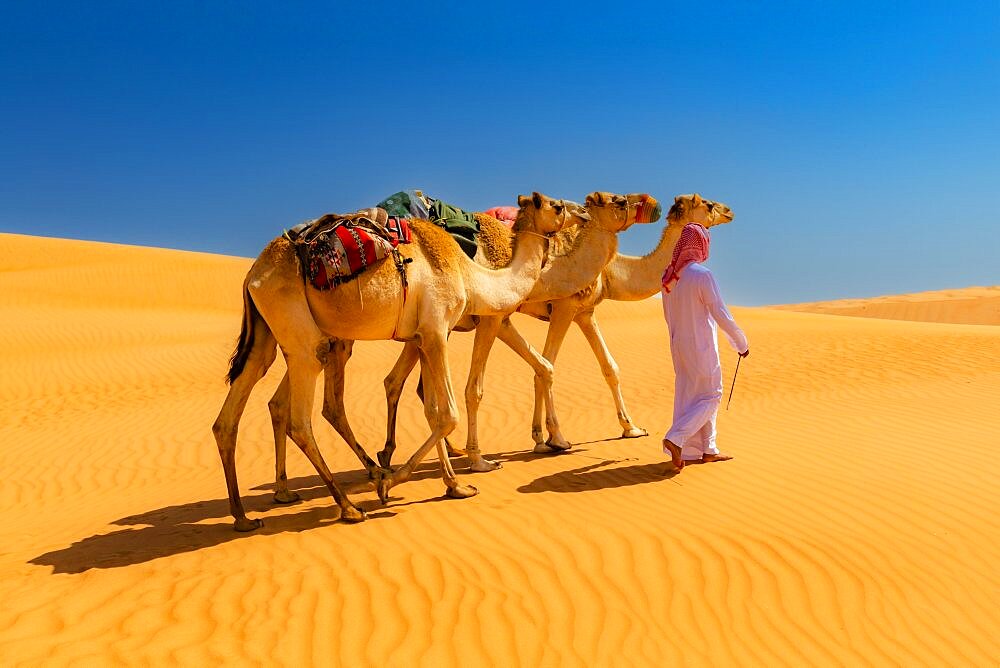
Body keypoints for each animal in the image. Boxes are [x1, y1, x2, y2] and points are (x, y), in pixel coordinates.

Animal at [266, 190, 656, 504]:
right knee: (324, 405)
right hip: (326, 338)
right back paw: (362, 488)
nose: (584, 212)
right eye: (618, 200)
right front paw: (487, 458)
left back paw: (297, 487)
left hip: (311, 339)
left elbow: (559, 367)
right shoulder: (494, 319)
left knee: (293, 399)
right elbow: (472, 392)